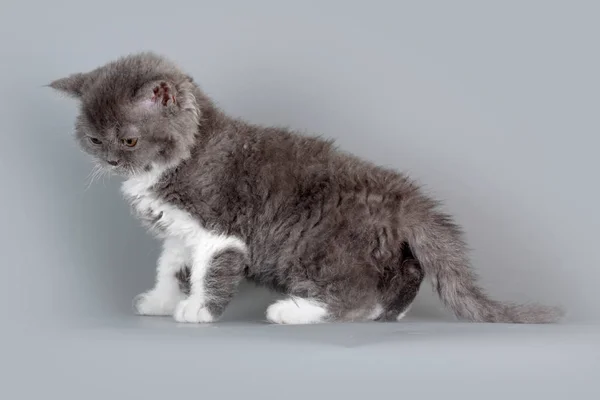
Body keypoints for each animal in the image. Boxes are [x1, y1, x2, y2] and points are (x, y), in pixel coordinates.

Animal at [48, 51, 564, 324]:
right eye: (93, 139)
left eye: (129, 139)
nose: (111, 161)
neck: (183, 156)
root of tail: (402, 194)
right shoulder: (180, 229)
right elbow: (171, 265)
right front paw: (160, 300)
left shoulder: (219, 229)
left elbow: (208, 270)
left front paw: (198, 310)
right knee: (404, 276)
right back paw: (388, 313)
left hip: (324, 244)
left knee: (353, 293)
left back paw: (294, 310)